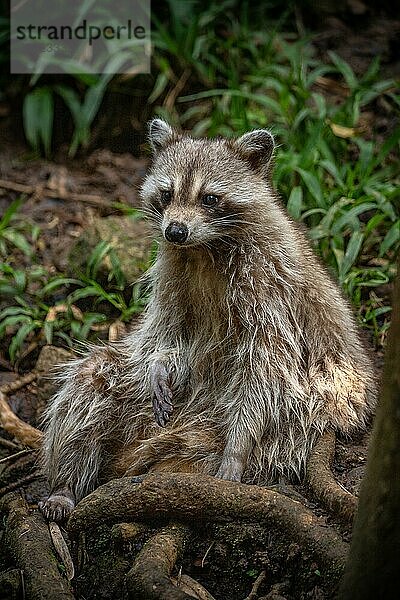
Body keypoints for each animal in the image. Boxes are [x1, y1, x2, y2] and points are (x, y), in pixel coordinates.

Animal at [38, 118, 376, 520]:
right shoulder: (171, 272)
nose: (175, 231)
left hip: (292, 425)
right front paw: (160, 364)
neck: (205, 246)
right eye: (167, 194)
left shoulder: (272, 287)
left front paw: (237, 446)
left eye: (209, 198)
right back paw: (66, 482)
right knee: (92, 381)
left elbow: (267, 366)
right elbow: (166, 333)